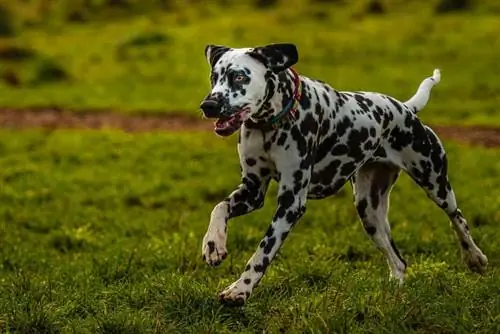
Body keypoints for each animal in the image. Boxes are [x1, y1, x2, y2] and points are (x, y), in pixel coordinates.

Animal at [197, 43, 486, 306]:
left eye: (239, 76)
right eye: (214, 76)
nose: (208, 104)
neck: (271, 123)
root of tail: (405, 109)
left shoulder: (291, 203)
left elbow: (262, 253)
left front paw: (240, 289)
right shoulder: (253, 189)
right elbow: (219, 207)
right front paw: (213, 244)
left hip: (435, 183)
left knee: (457, 218)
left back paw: (474, 257)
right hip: (369, 211)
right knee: (399, 262)